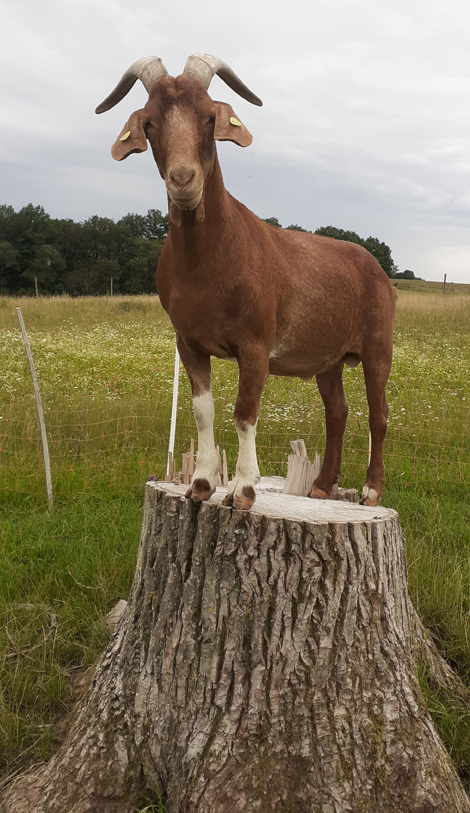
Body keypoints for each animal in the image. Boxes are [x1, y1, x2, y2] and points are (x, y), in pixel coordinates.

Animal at [96, 54, 396, 508]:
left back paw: (371, 490)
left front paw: (243, 489)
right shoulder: (188, 342)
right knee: (337, 413)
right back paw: (321, 484)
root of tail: (377, 268)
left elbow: (245, 411)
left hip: (379, 344)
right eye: (148, 123)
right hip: (328, 358)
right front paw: (202, 484)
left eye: (209, 117)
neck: (208, 263)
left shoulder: (256, 344)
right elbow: (203, 410)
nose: (183, 179)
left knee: (378, 416)